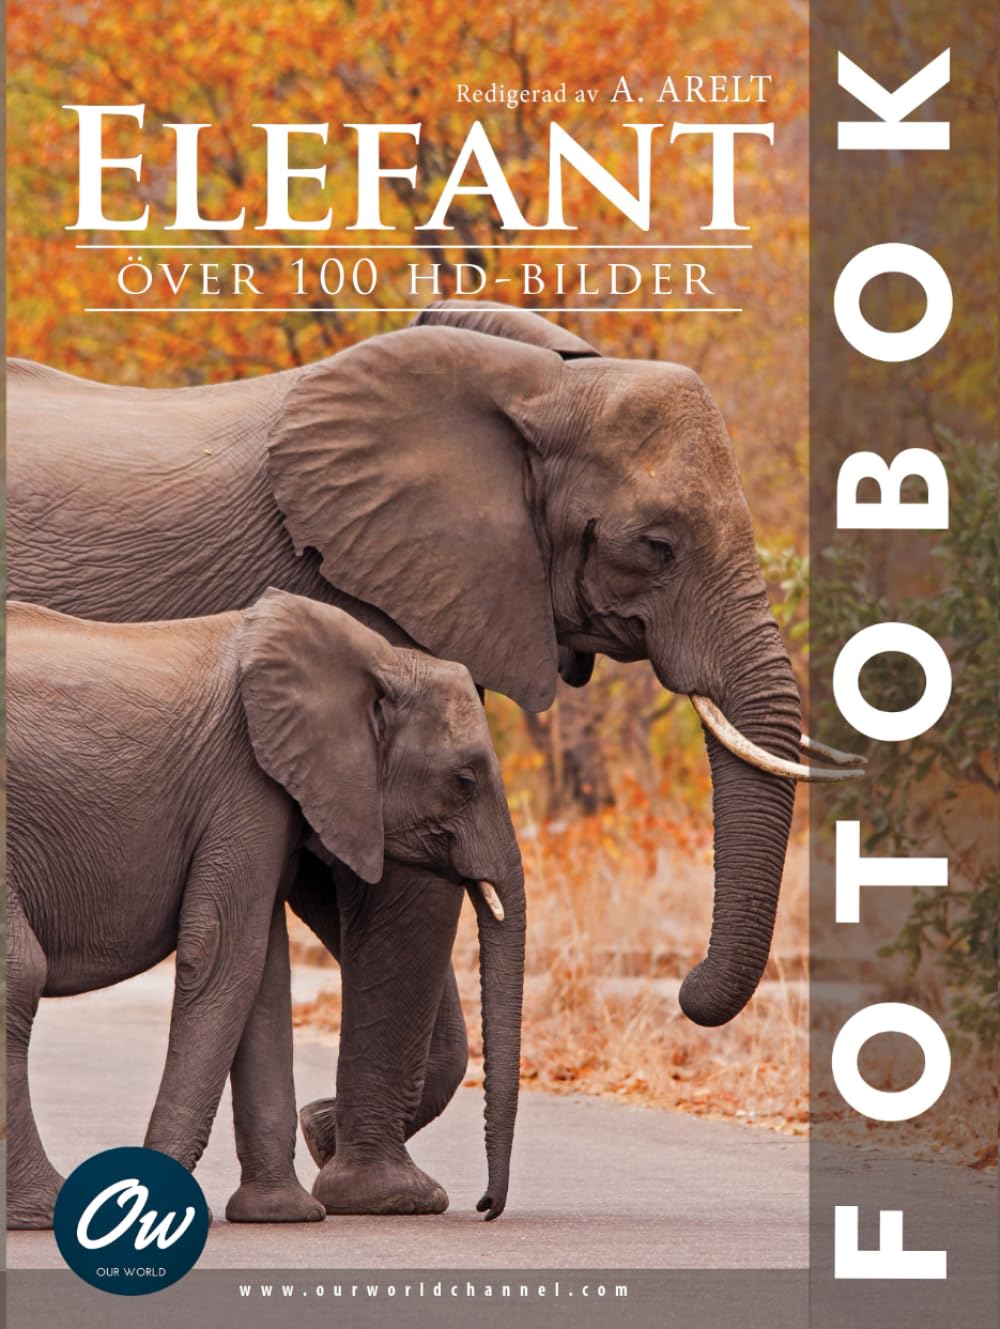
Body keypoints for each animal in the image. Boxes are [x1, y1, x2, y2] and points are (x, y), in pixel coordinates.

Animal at [5, 590, 525, 1229]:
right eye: (464, 781)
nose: (485, 1206)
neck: (377, 658)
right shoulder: (244, 784)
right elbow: (225, 952)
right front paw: (152, 1207)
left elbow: (264, 975)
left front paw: (282, 1214)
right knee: (19, 973)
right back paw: (42, 1209)